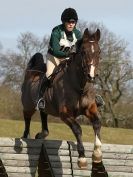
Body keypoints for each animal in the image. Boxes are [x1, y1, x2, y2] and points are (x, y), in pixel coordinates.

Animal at [21, 28, 103, 169]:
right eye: (83, 52)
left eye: (99, 52)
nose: (91, 76)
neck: (79, 86)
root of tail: (31, 72)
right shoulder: (64, 113)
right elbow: (77, 129)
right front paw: (82, 159)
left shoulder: (90, 109)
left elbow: (97, 123)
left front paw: (97, 154)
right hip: (28, 106)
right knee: (27, 120)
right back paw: (27, 136)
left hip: (44, 107)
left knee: (44, 117)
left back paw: (40, 135)